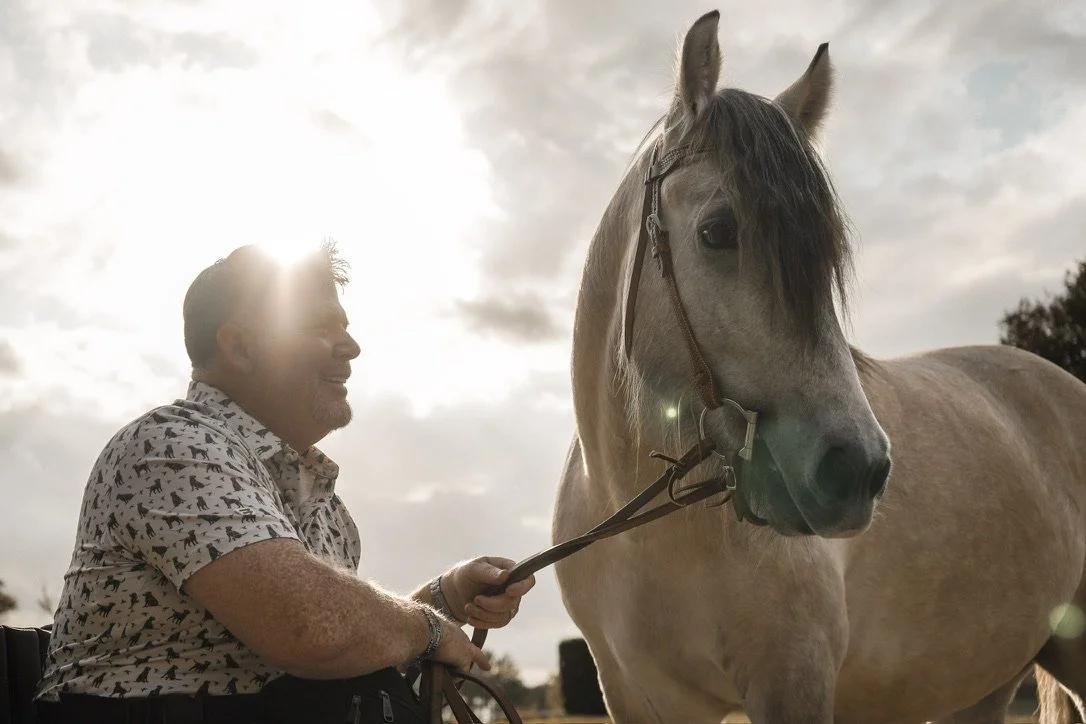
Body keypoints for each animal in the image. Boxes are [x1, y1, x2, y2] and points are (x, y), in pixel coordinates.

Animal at [551, 10, 1086, 724]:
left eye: (825, 254)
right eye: (717, 231)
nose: (857, 470)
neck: (652, 536)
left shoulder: (793, 680)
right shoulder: (638, 697)